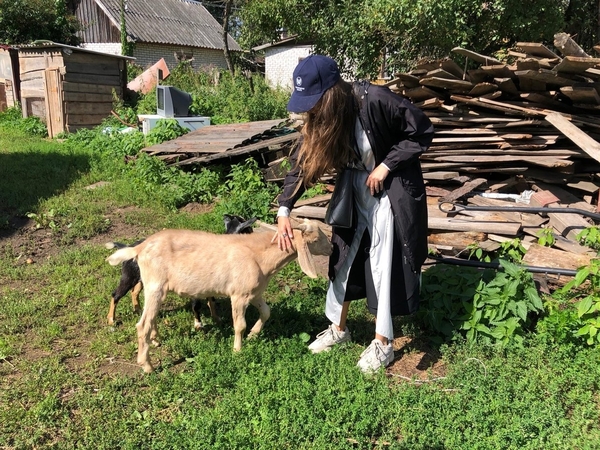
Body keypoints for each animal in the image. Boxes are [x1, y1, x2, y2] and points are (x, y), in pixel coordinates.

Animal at [108, 218, 332, 372]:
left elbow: (266, 312)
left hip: (155, 289)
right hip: (154, 286)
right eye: (317, 237)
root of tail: (139, 247)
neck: (259, 256)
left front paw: (253, 334)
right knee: (142, 324)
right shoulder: (239, 295)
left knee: (150, 318)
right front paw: (238, 350)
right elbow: (239, 325)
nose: (331, 248)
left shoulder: (254, 292)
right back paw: (147, 365)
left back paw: (156, 341)